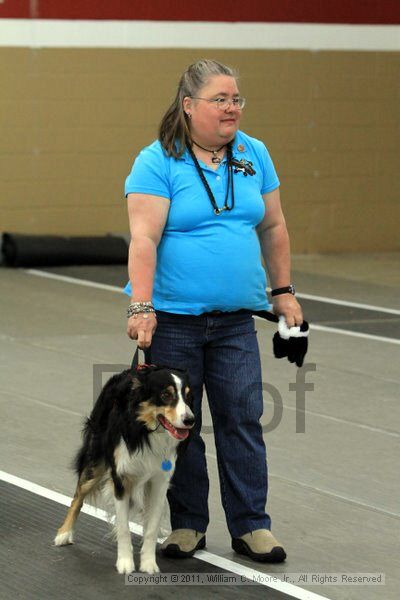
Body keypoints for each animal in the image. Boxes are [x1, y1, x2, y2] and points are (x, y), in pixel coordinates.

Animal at [54, 364, 195, 576]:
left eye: (187, 396)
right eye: (165, 395)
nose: (190, 420)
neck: (146, 431)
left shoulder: (160, 481)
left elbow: (152, 526)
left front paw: (148, 563)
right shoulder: (120, 479)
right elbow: (123, 527)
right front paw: (126, 562)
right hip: (96, 460)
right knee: (78, 495)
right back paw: (64, 533)